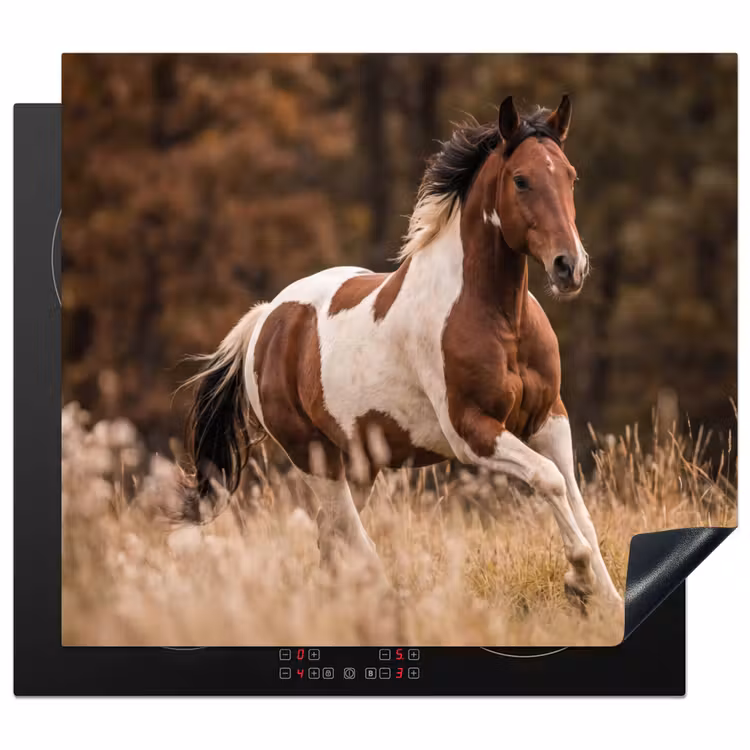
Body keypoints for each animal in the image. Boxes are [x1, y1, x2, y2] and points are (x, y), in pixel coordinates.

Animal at [182, 94, 623, 607]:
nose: (570, 266)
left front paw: (608, 600)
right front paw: (579, 579)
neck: (499, 319)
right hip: (314, 456)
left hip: (359, 464)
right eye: (521, 179)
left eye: (571, 176)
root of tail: (266, 318)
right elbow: (548, 480)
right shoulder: (471, 432)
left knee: (331, 539)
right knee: (349, 538)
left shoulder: (549, 419)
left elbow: (577, 504)